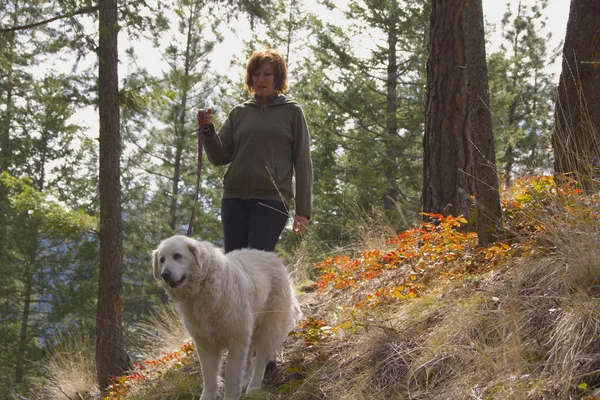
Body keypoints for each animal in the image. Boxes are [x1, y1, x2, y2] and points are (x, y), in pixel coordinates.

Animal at [154, 234, 300, 400]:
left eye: (177, 256)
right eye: (162, 260)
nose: (165, 275)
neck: (203, 287)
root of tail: (271, 255)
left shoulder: (237, 339)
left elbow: (231, 375)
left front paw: (231, 394)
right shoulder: (205, 344)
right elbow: (209, 379)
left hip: (268, 327)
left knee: (261, 359)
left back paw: (253, 387)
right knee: (249, 359)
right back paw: (245, 381)